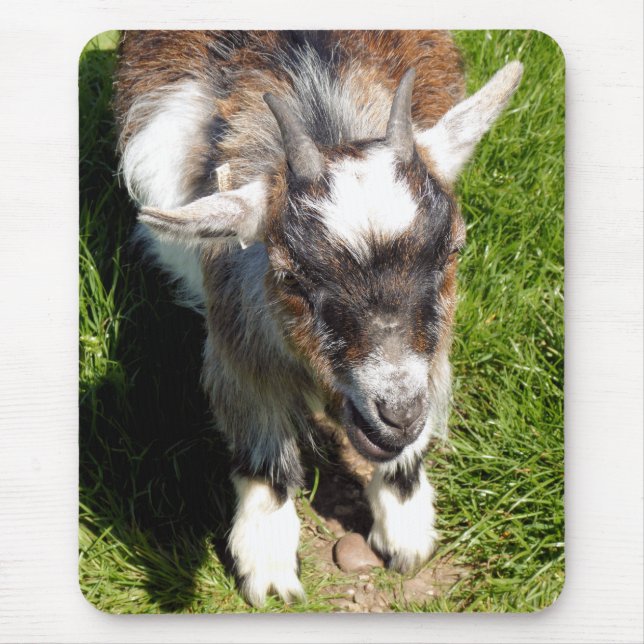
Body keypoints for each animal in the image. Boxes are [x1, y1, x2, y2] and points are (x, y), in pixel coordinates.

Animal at [114, 30, 522, 607]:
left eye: (453, 251)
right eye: (290, 276)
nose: (398, 413)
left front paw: (407, 533)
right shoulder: (240, 330)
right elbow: (264, 453)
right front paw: (267, 569)